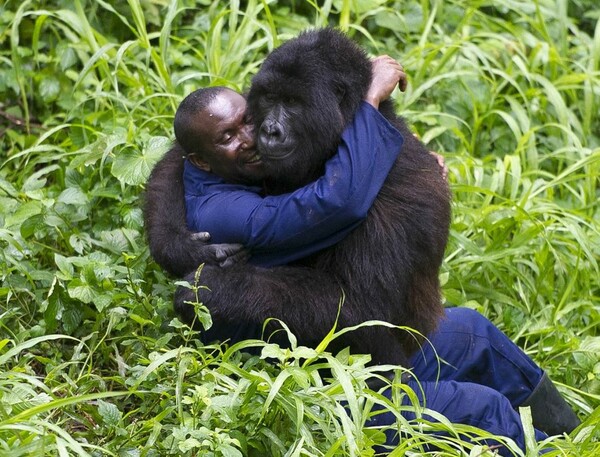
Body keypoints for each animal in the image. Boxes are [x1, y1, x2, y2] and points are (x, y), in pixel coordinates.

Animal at [145, 26, 452, 366]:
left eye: (292, 102)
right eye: (269, 98)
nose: (269, 131)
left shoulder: (393, 195)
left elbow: (362, 310)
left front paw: (211, 288)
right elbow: (177, 158)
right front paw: (178, 245)